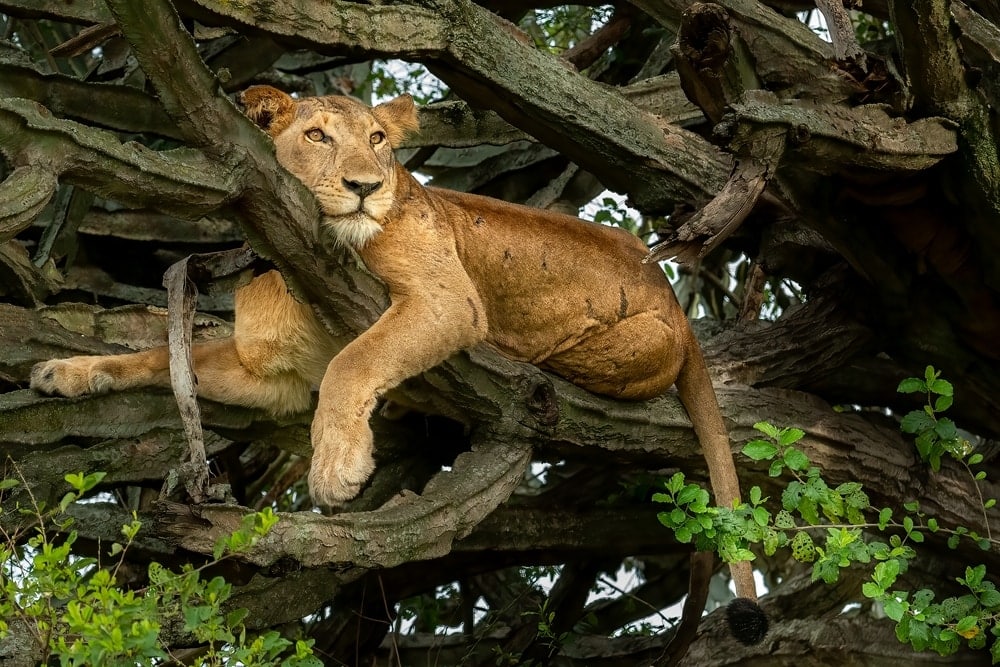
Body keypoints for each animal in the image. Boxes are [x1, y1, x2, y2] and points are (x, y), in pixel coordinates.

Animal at [31, 85, 764, 648]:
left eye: (379, 139)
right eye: (319, 136)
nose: (365, 187)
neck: (284, 262)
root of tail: (672, 292)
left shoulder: (445, 299)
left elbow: (353, 361)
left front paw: (336, 466)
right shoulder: (275, 378)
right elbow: (159, 354)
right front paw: (66, 371)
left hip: (622, 341)